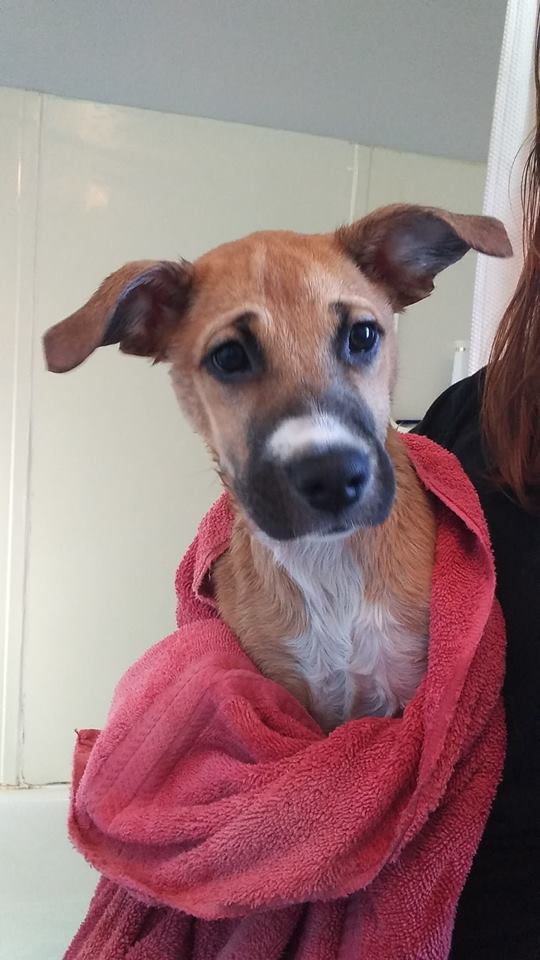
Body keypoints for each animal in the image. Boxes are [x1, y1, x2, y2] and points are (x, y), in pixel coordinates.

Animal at [43, 204, 511, 732]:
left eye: (363, 335)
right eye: (229, 356)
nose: (333, 477)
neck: (328, 563)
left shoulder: (409, 694)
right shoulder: (285, 696)